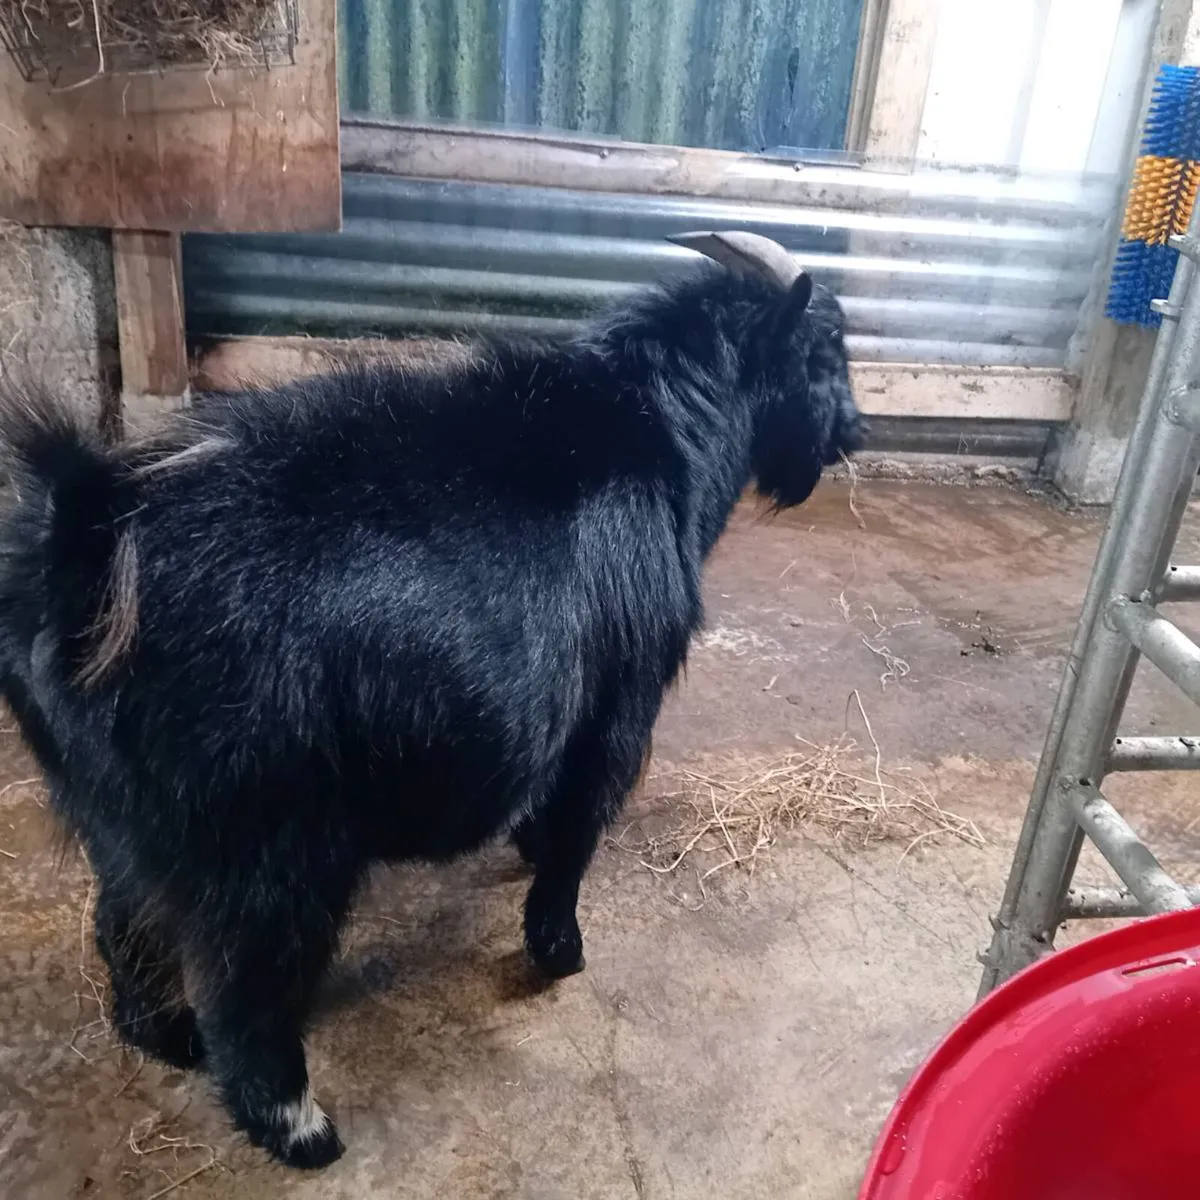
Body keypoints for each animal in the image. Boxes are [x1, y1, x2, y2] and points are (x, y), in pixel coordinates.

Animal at [0, 232, 864, 1167]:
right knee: (246, 993)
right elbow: (580, 828)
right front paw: (559, 948)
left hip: (113, 813)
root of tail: (86, 543)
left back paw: (167, 1040)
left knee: (121, 926)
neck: (657, 429)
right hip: (263, 839)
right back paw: (301, 1129)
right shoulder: (618, 705)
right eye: (824, 350)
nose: (857, 430)